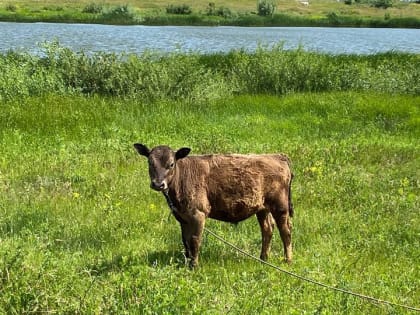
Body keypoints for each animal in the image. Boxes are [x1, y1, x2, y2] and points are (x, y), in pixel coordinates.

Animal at [133, 144, 294, 268]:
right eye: (150, 163)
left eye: (171, 164)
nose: (158, 184)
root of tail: (277, 156)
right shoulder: (182, 217)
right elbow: (185, 241)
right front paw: (187, 263)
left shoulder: (198, 214)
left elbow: (195, 240)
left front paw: (194, 266)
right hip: (262, 208)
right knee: (267, 229)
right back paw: (263, 258)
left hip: (280, 206)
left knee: (285, 231)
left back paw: (288, 260)